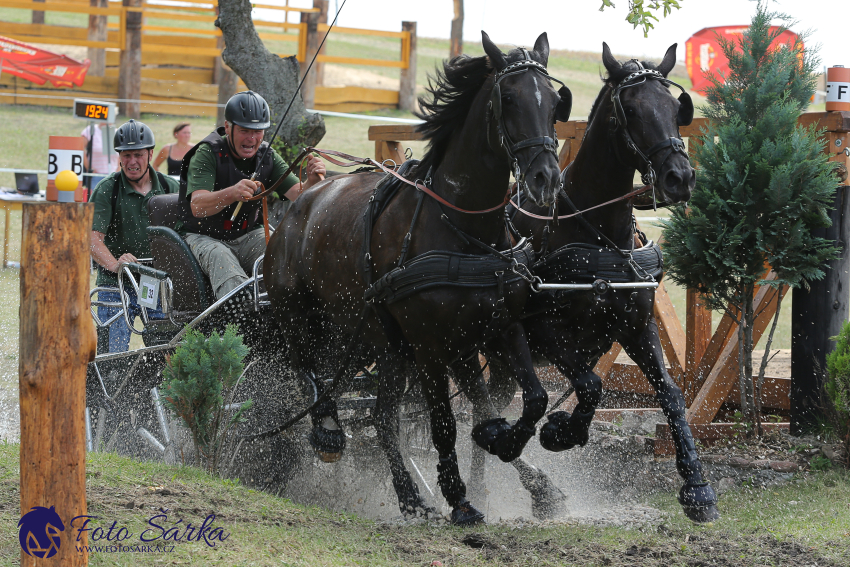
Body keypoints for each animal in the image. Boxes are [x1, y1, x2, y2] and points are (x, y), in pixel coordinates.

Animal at [264, 31, 568, 524]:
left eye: (556, 101)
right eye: (507, 98)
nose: (546, 178)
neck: (462, 228)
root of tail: (295, 205)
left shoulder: (498, 327)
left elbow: (530, 400)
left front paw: (511, 451)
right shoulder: (429, 344)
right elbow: (444, 424)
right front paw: (459, 498)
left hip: (378, 342)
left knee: (381, 415)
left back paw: (408, 494)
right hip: (303, 317)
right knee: (306, 370)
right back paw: (328, 430)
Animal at [464, 43, 716, 524]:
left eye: (675, 107)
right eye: (630, 110)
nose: (679, 176)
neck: (598, 236)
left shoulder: (637, 329)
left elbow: (671, 395)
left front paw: (697, 487)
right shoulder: (547, 333)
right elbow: (590, 385)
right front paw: (561, 432)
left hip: (505, 362)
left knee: (490, 406)